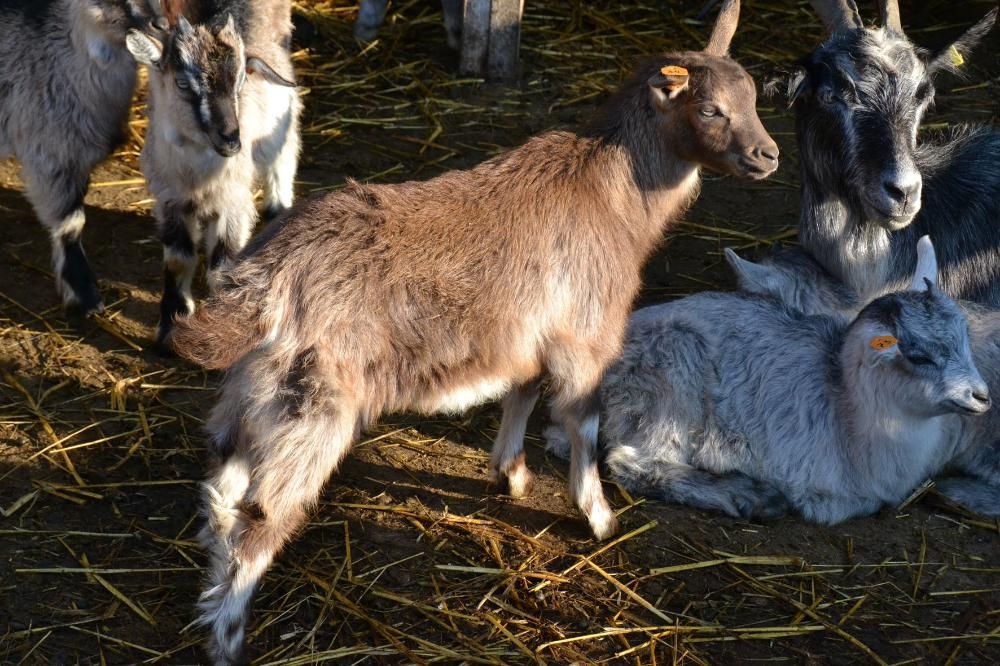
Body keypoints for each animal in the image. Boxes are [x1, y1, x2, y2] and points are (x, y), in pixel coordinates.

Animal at [124, 0, 298, 342]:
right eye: (181, 83)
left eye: (241, 83)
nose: (231, 140)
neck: (197, 175)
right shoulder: (170, 201)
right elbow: (178, 260)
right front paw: (169, 325)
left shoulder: (234, 201)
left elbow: (222, 267)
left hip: (281, 105)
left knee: (283, 154)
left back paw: (278, 208)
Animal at [174, 1, 780, 660]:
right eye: (709, 109)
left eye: (754, 97)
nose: (769, 155)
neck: (614, 197)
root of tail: (266, 280)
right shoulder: (585, 339)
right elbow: (584, 422)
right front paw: (599, 517)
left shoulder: (531, 335)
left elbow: (523, 392)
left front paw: (509, 474)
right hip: (313, 409)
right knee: (261, 520)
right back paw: (229, 638)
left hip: (254, 393)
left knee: (221, 488)